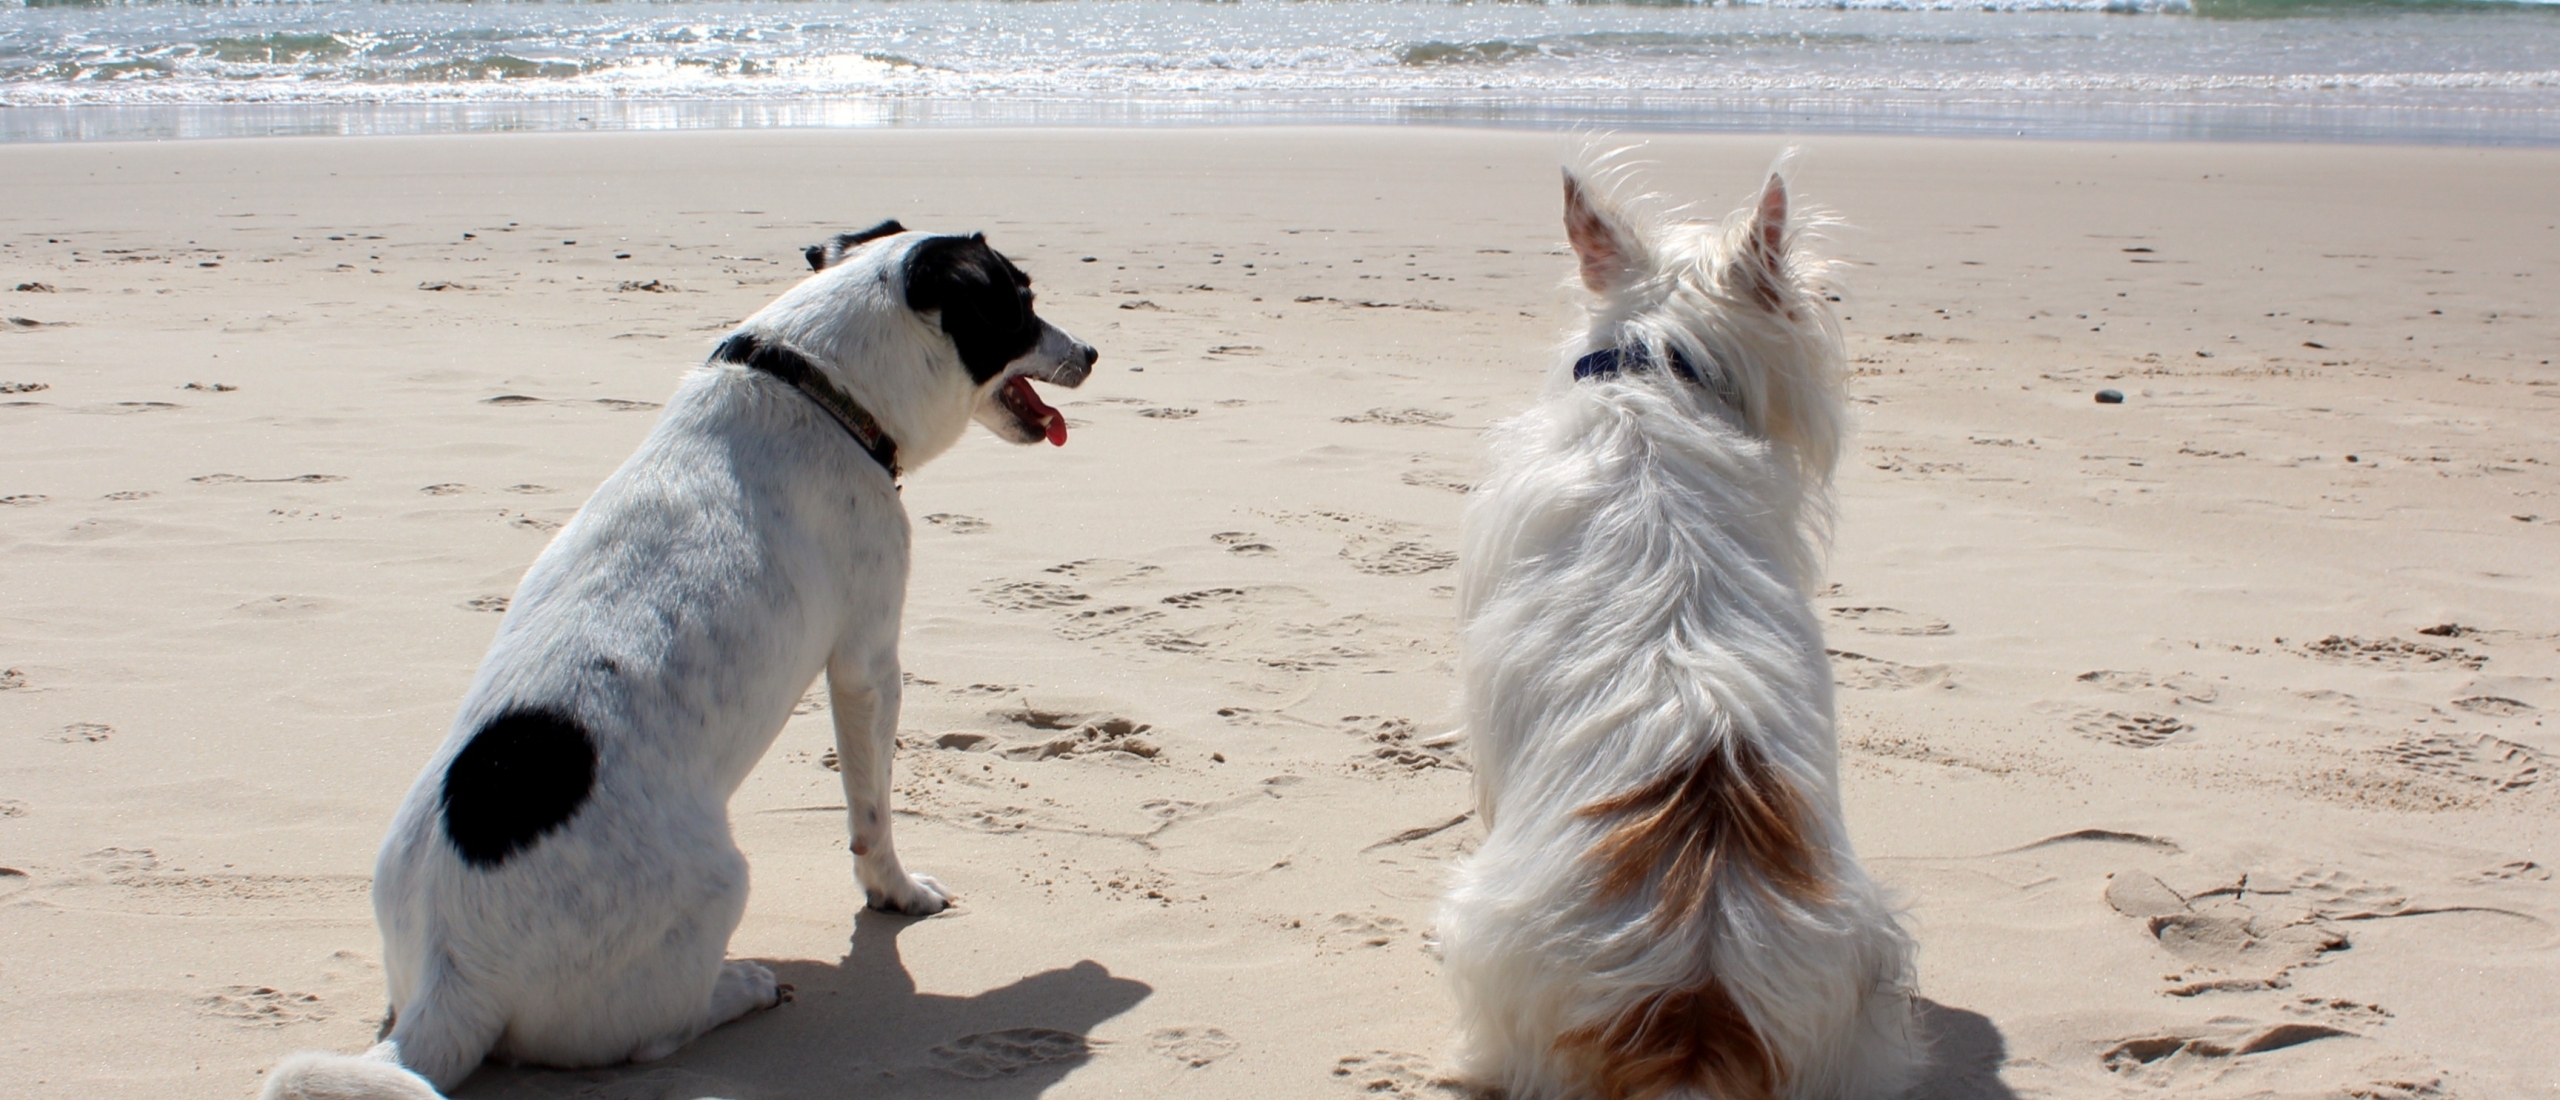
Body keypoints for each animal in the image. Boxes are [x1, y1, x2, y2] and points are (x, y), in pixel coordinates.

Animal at [257, 218, 1090, 1094]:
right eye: (1021, 301)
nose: (1094, 352)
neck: (816, 384)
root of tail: (457, 978)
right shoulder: (867, 663)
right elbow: (872, 816)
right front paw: (894, 891)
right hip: (719, 886)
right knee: (655, 1033)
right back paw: (742, 986)